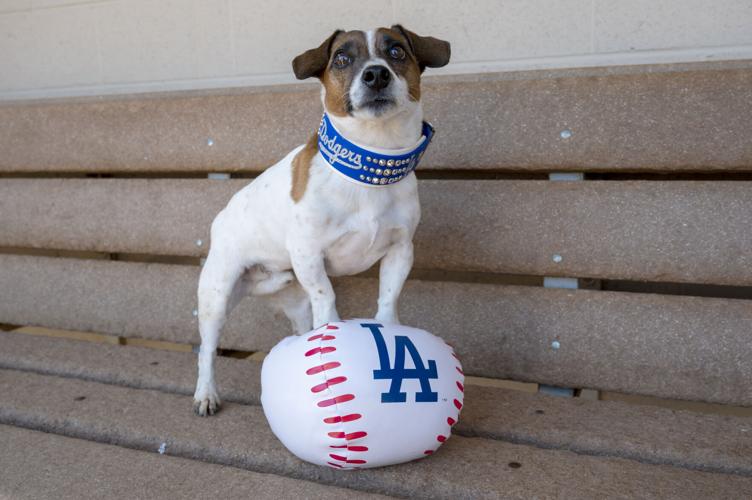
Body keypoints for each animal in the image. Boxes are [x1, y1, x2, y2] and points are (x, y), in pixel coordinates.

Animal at [195, 25, 452, 416]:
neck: (368, 167)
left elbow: (388, 298)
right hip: (216, 296)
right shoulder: (308, 255)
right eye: (342, 59)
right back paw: (206, 393)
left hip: (294, 301)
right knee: (207, 351)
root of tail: (222, 215)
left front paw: (389, 330)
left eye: (397, 52)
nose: (376, 74)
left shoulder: (400, 251)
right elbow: (327, 296)